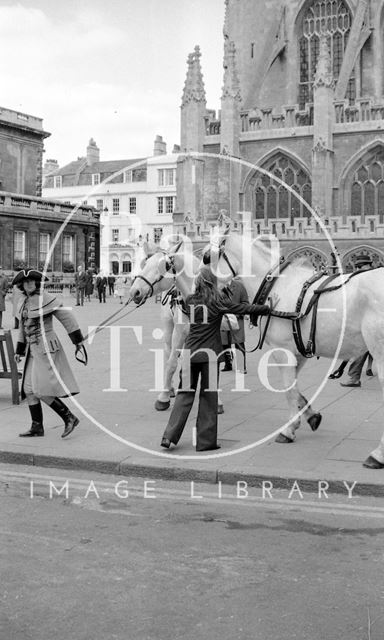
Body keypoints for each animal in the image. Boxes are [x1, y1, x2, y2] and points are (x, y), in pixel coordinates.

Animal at [206, 228, 384, 468]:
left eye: (207, 257)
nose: (201, 288)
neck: (276, 285)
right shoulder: (298, 351)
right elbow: (296, 391)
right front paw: (310, 417)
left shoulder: (283, 351)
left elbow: (289, 391)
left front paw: (288, 431)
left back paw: (377, 455)